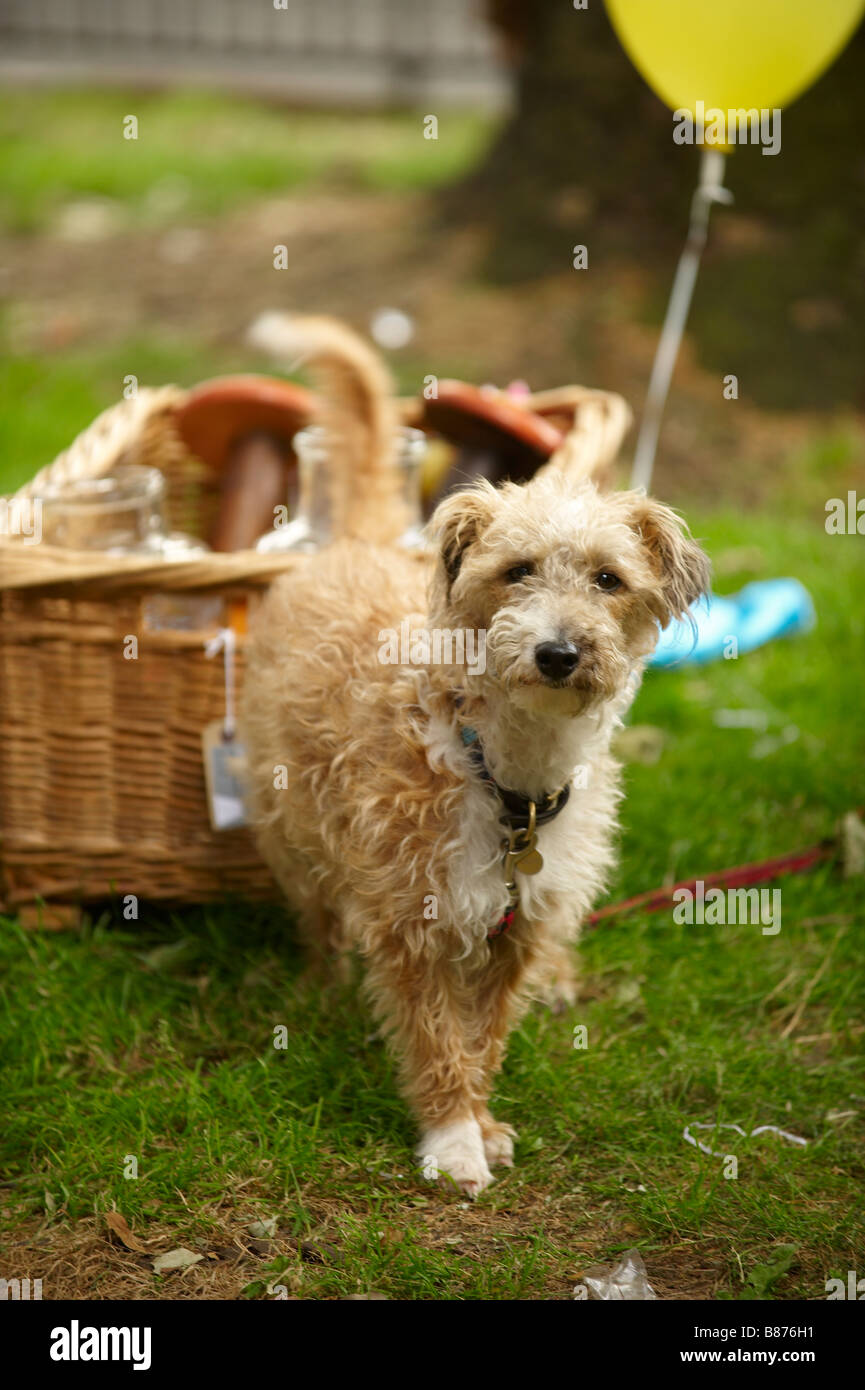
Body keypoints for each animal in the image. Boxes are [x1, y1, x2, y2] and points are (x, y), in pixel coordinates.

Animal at [244, 318, 712, 1195]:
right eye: (515, 571)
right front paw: (452, 1137)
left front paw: (481, 1118)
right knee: (317, 919)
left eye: (608, 579)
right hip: (286, 824)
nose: (559, 652)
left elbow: (484, 1033)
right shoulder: (412, 922)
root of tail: (355, 539)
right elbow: (435, 1039)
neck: (507, 779)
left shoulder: (517, 929)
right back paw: (321, 990)